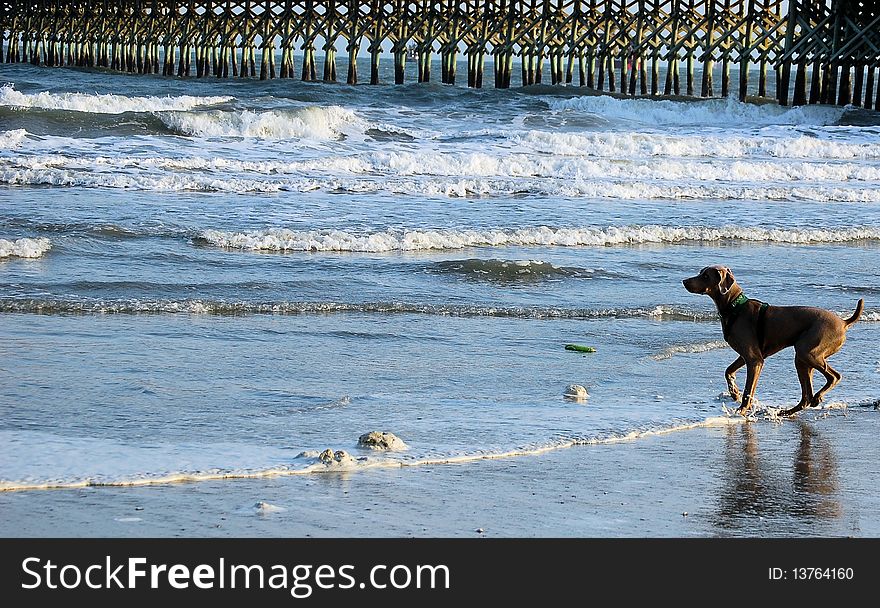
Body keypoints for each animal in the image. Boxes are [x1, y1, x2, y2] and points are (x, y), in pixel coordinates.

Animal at [684, 266, 864, 418]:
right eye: (701, 272)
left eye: (705, 276)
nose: (684, 281)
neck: (734, 306)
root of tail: (843, 322)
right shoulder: (746, 355)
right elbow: (728, 371)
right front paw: (734, 392)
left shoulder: (755, 359)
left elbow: (749, 390)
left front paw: (741, 409)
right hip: (803, 359)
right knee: (806, 396)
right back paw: (787, 411)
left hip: (807, 351)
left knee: (833, 377)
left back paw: (817, 397)